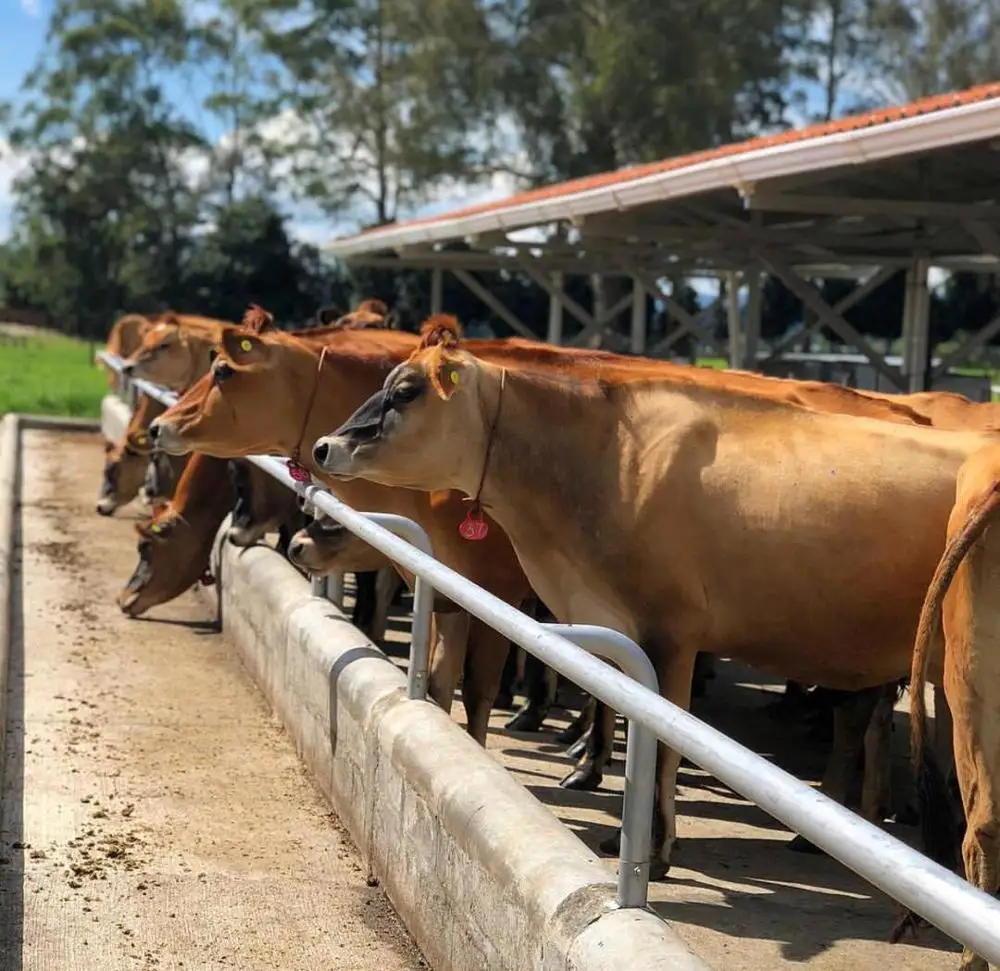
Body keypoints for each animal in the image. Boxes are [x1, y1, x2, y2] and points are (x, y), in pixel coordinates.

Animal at [310, 319, 1000, 894]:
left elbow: (665, 739)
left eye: (404, 392)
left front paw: (654, 847)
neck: (602, 464)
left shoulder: (672, 634)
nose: (321, 447)